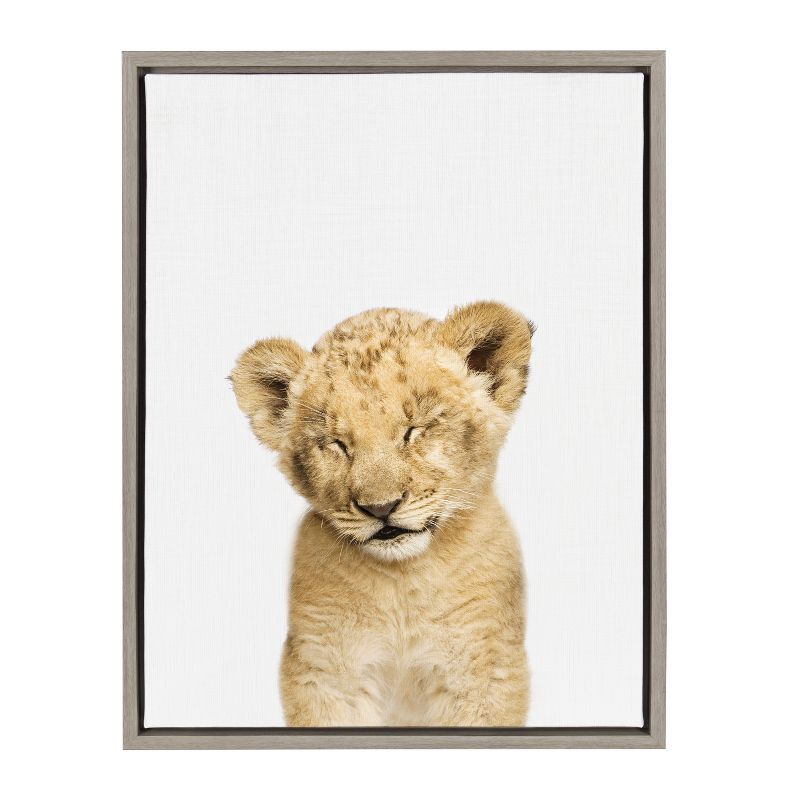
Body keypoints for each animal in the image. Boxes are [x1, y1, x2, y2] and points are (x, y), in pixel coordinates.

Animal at [230, 301, 533, 726]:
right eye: (337, 443)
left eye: (414, 430)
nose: (381, 507)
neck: (402, 581)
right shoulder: (323, 672)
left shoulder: (483, 670)